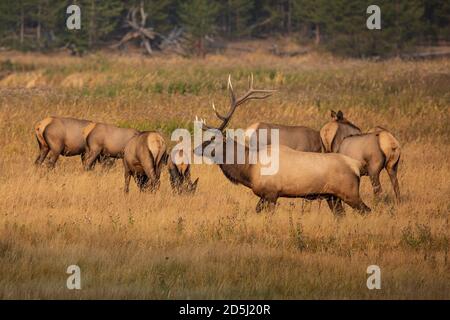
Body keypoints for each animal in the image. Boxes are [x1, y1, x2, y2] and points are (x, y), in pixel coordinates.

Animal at [193, 75, 370, 215]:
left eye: (212, 139)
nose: (195, 149)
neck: (249, 169)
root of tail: (356, 166)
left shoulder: (271, 194)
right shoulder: (265, 195)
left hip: (350, 193)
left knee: (366, 210)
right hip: (333, 197)